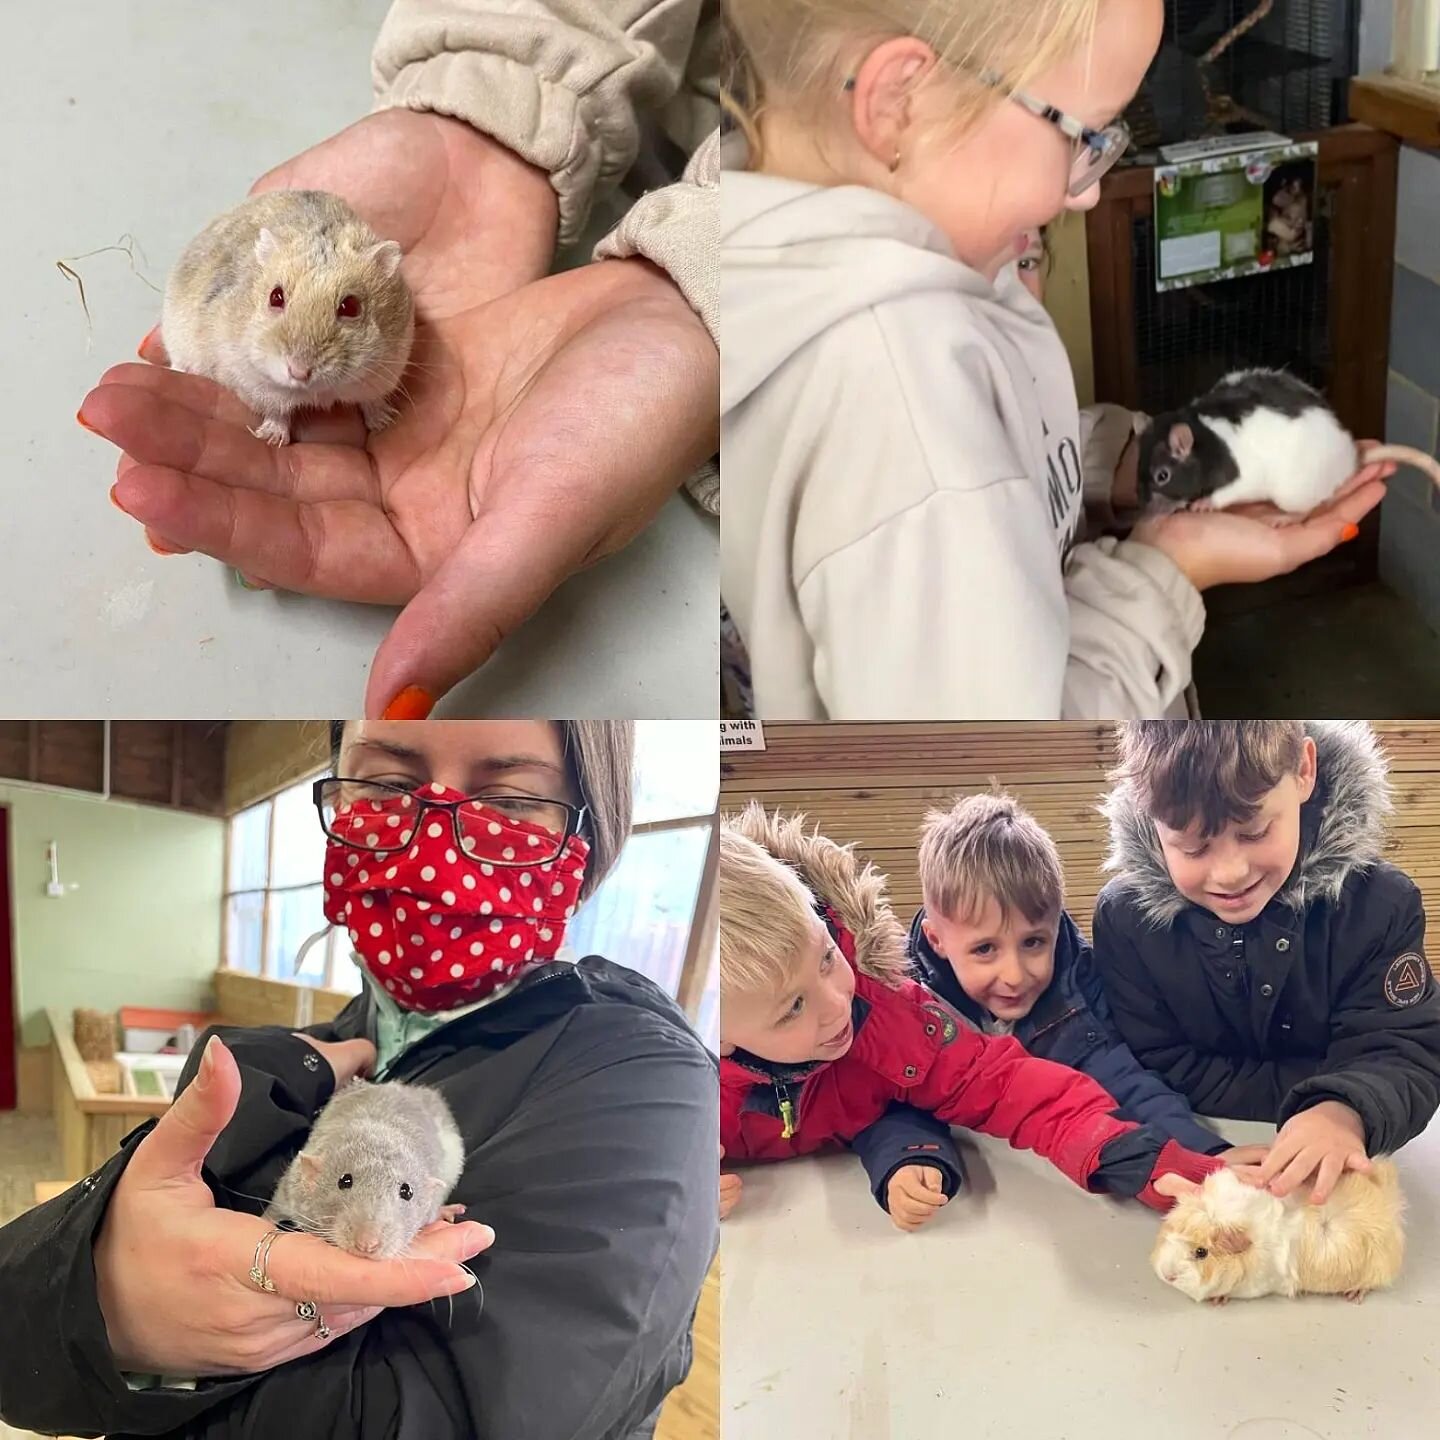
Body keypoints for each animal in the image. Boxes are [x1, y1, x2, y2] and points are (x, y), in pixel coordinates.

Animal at [162, 188, 414, 443]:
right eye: (276, 296)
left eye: (351, 306)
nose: (299, 372)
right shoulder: (252, 383)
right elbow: (277, 412)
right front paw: (272, 439)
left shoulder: (385, 372)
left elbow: (372, 402)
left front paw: (385, 422)